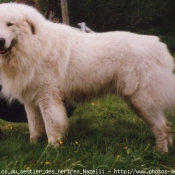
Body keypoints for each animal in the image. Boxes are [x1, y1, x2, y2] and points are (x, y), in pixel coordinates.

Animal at [0, 3, 175, 153]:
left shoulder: (47, 98)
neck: (31, 44)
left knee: (161, 126)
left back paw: (160, 152)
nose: (1, 40)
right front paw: (34, 145)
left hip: (142, 100)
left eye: (10, 24)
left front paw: (52, 149)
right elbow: (35, 127)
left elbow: (51, 125)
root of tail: (158, 45)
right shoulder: (30, 100)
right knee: (165, 125)